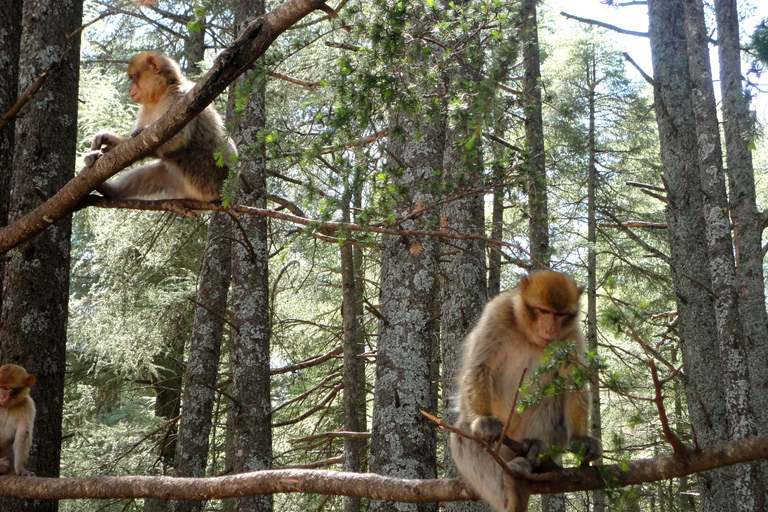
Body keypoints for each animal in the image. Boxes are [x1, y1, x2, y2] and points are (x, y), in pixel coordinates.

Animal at [83, 51, 234, 202]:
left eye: (134, 77)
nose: (129, 89)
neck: (160, 95)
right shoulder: (146, 108)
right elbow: (131, 147)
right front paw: (107, 140)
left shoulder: (179, 96)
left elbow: (178, 137)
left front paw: (140, 133)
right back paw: (112, 192)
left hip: (210, 177)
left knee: (181, 153)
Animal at [452, 270, 604, 510]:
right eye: (543, 311)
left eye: (560, 314)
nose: (550, 328)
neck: (529, 335)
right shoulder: (498, 312)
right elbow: (480, 366)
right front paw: (485, 421)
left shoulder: (570, 335)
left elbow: (572, 383)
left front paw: (581, 438)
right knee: (465, 434)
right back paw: (512, 494)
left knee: (551, 397)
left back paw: (536, 447)